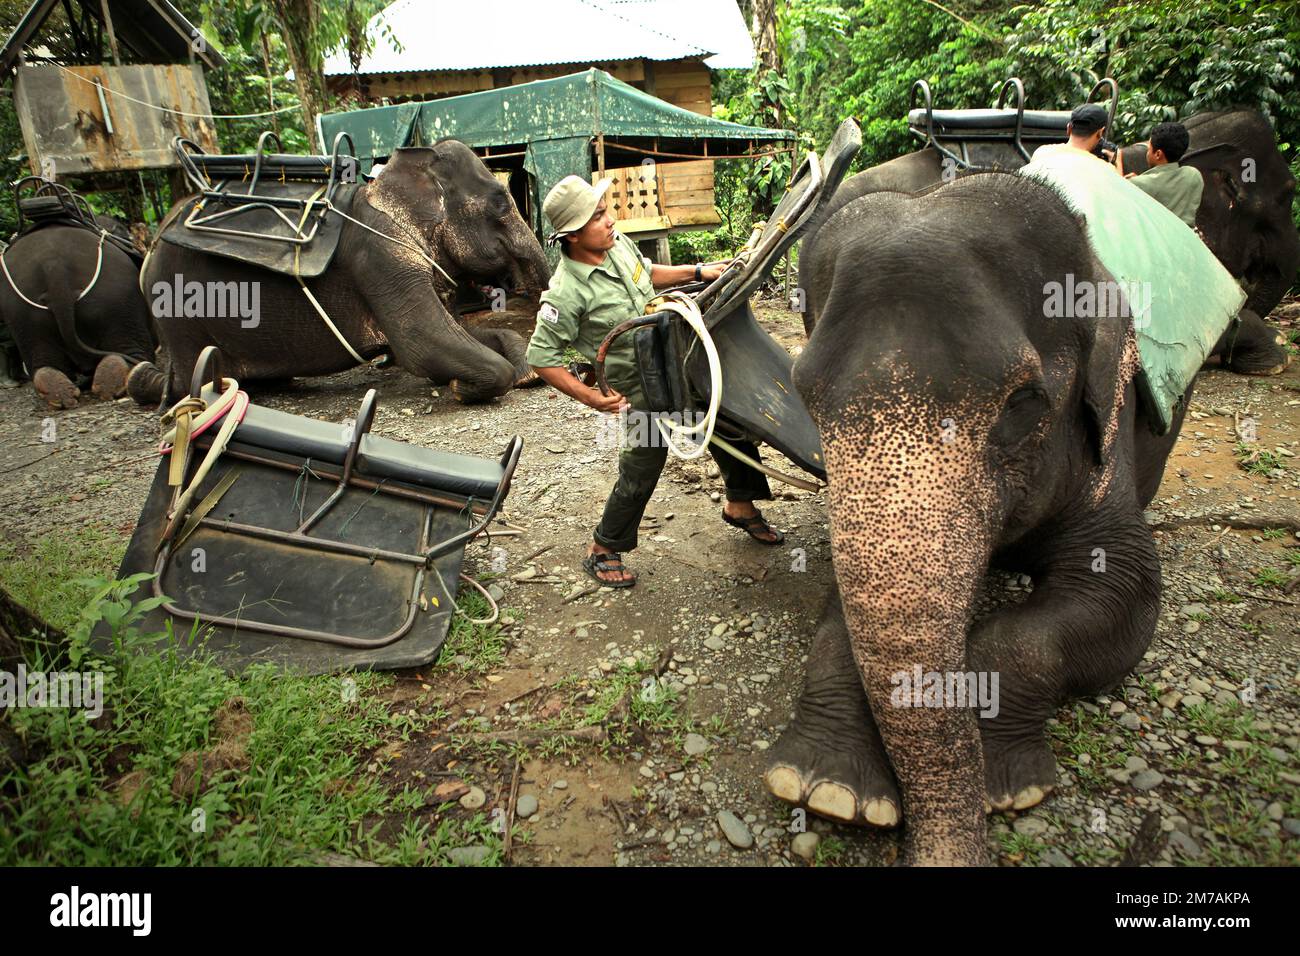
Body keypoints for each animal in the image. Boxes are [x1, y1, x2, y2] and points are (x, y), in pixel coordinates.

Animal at [127, 140, 550, 406]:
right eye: (500, 202)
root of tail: (151, 246)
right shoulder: (380, 259)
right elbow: (421, 345)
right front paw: (461, 387)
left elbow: (458, 334)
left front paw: (526, 373)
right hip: (179, 309)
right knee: (187, 383)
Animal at [765, 171, 1191, 865]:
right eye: (804, 395)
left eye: (1024, 403)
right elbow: (844, 597)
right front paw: (824, 789)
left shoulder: (1110, 441)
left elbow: (1128, 587)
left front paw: (1003, 787)